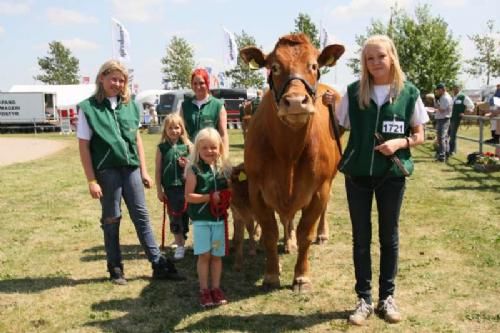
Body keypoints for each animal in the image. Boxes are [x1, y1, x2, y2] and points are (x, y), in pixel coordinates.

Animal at [239, 33, 344, 292]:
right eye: (274, 67)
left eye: (314, 66)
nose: (296, 102)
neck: (288, 155)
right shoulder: (257, 189)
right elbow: (269, 231)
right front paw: (271, 274)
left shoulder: (319, 189)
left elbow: (306, 232)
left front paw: (301, 276)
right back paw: (288, 242)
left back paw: (321, 234)